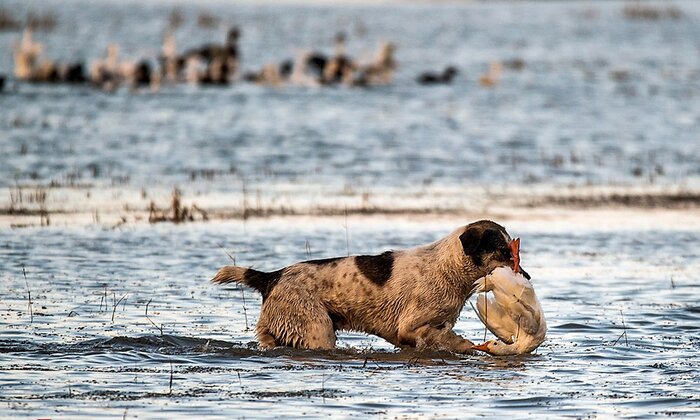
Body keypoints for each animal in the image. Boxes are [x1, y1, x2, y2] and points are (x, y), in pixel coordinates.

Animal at [211, 220, 528, 354]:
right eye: (503, 250)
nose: (526, 276)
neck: (447, 268)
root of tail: (272, 276)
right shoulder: (410, 326)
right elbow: (446, 338)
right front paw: (466, 345)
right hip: (317, 330)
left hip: (274, 331)